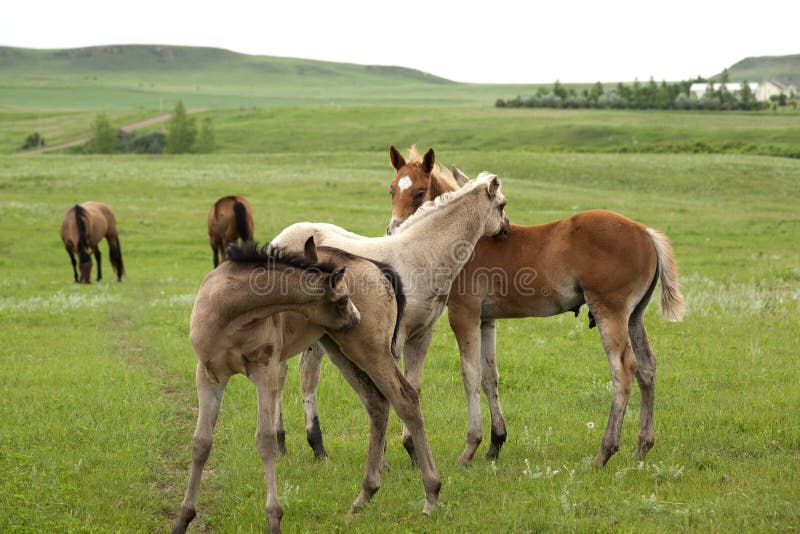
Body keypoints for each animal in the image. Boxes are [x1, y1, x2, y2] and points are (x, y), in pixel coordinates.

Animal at [172, 237, 441, 534]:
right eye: (342, 299)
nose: (355, 318)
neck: (229, 313)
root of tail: (378, 268)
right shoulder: (208, 375)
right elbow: (201, 443)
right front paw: (183, 519)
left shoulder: (265, 371)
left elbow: (266, 441)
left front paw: (274, 519)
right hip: (340, 349)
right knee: (377, 403)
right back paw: (364, 497)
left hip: (369, 351)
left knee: (406, 399)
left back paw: (431, 494)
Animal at [270, 171, 510, 463]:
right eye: (502, 205)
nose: (506, 228)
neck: (420, 256)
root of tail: (278, 240)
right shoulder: (393, 339)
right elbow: (387, 388)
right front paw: (384, 456)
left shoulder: (421, 335)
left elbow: (413, 385)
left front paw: (412, 449)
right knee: (284, 374)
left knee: (303, 374)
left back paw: (307, 445)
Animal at [378, 145, 685, 467]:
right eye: (391, 190)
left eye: (419, 192)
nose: (393, 230)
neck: (466, 239)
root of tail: (645, 231)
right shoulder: (486, 320)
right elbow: (490, 376)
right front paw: (495, 443)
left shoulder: (464, 314)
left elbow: (470, 375)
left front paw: (470, 448)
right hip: (635, 315)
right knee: (647, 366)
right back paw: (642, 446)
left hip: (609, 312)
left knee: (623, 369)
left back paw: (604, 451)